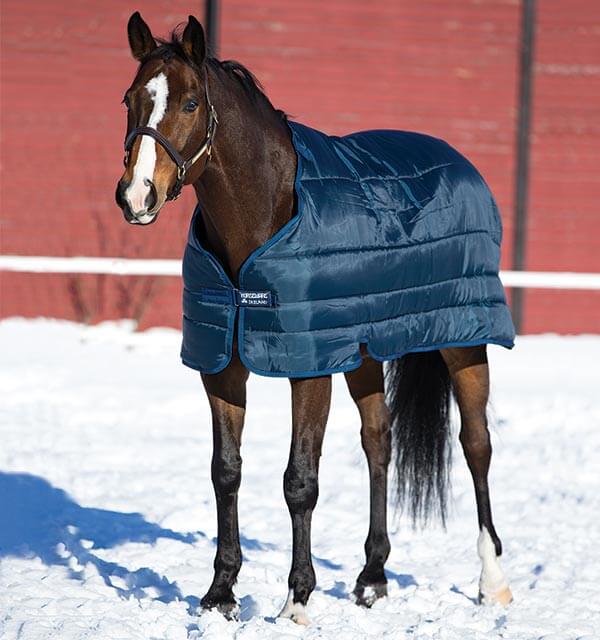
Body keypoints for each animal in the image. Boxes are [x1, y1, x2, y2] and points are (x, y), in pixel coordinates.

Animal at [116, 12, 513, 623]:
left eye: (188, 103)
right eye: (130, 99)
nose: (136, 196)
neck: (268, 213)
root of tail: (460, 160)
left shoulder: (309, 367)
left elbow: (299, 479)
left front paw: (296, 601)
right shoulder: (223, 366)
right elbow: (225, 471)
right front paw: (220, 595)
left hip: (465, 339)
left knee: (476, 445)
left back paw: (491, 581)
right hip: (364, 350)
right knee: (379, 441)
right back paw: (372, 577)